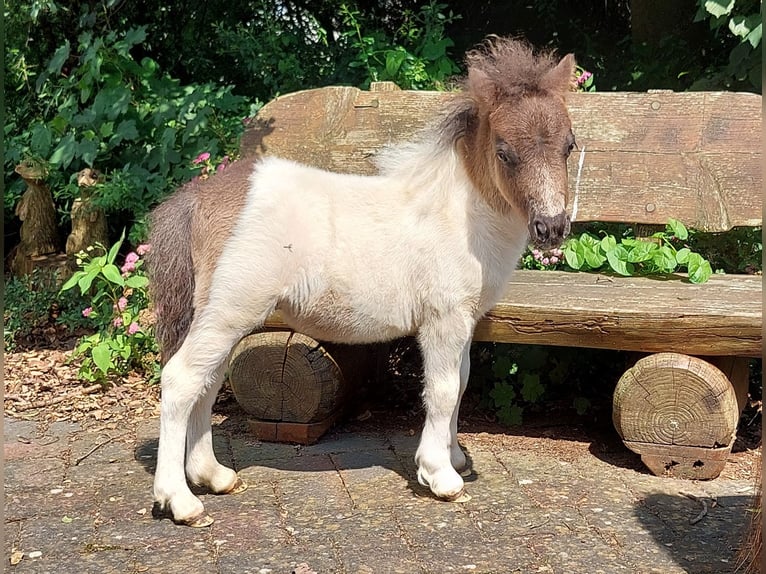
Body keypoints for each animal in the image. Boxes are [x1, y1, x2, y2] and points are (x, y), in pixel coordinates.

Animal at [147, 38, 580, 528]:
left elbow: (462, 381)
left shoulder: (465, 321)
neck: (458, 215)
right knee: (181, 380)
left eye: (569, 145)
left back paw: (213, 475)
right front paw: (439, 474)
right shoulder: (443, 320)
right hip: (228, 312)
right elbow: (444, 389)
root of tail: (199, 195)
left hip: (222, 317)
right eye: (504, 150)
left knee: (207, 382)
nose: (551, 227)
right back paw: (179, 500)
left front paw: (454, 457)